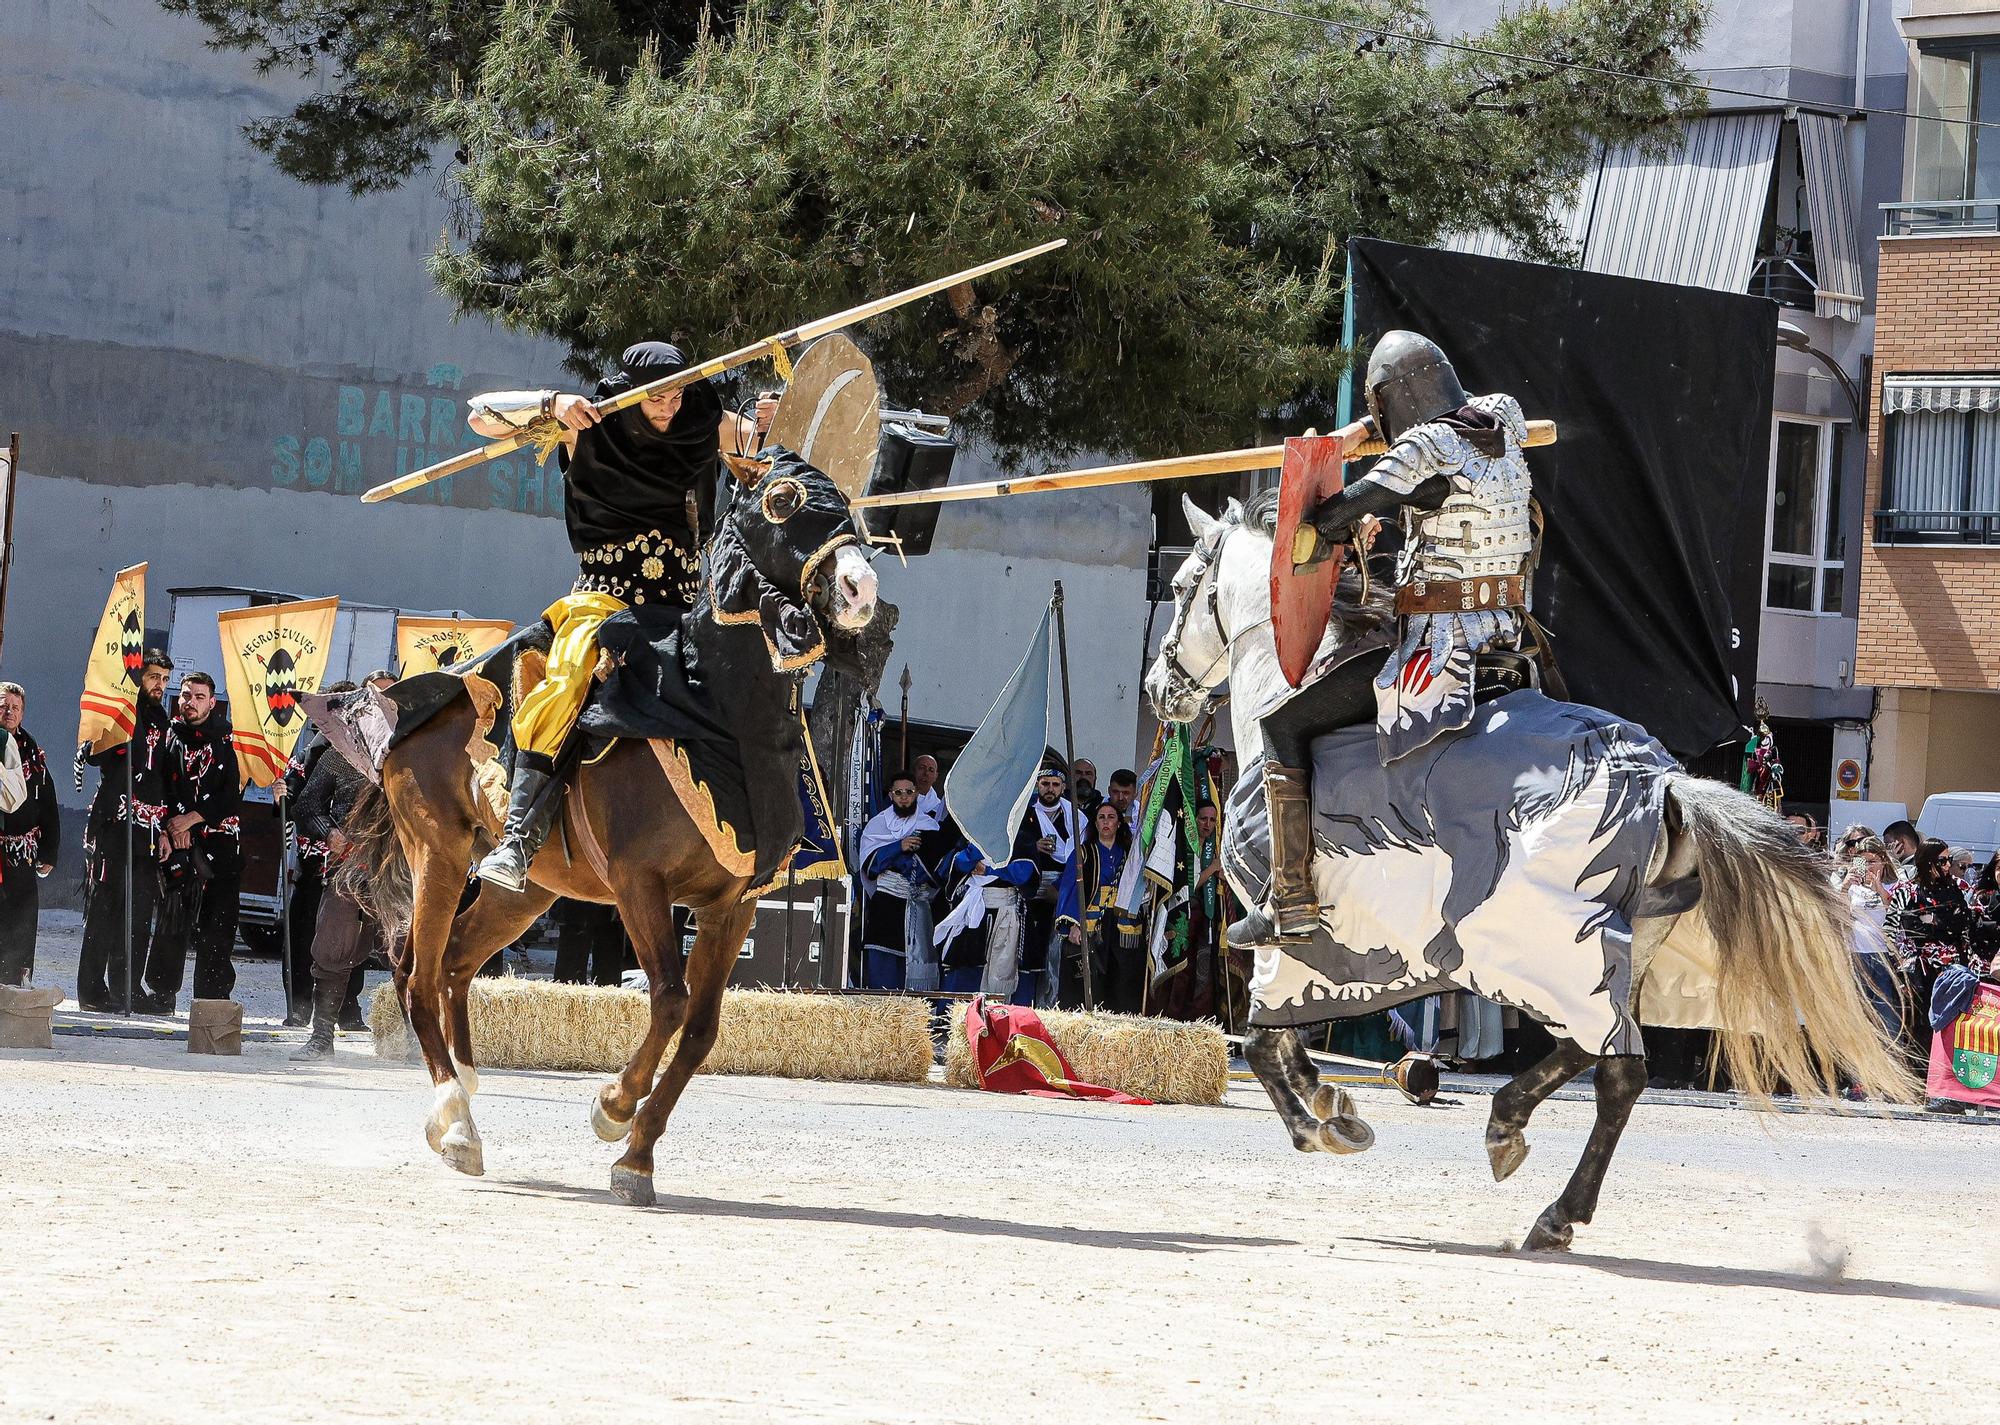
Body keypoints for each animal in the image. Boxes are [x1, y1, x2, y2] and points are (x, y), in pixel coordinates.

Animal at [340, 456, 880, 1200]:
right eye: (781, 499)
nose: (861, 587)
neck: (710, 711)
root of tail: (405, 705)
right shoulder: (639, 884)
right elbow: (671, 1001)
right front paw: (613, 1107)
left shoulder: (730, 906)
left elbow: (702, 1027)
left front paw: (637, 1156)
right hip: (439, 857)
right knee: (415, 975)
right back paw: (454, 1123)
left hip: (527, 891)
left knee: (455, 965)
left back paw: (464, 1097)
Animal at [1152, 496, 1912, 1248]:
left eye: (1183, 585)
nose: (1160, 689)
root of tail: (1661, 781)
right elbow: (1283, 1035)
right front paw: (1332, 1098)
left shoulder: (1292, 942)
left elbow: (1261, 1039)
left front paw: (1322, 1122)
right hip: (1618, 950)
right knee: (1609, 1067)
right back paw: (1532, 1166)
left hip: (1548, 944)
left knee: (1606, 1055)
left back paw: (1532, 1168)